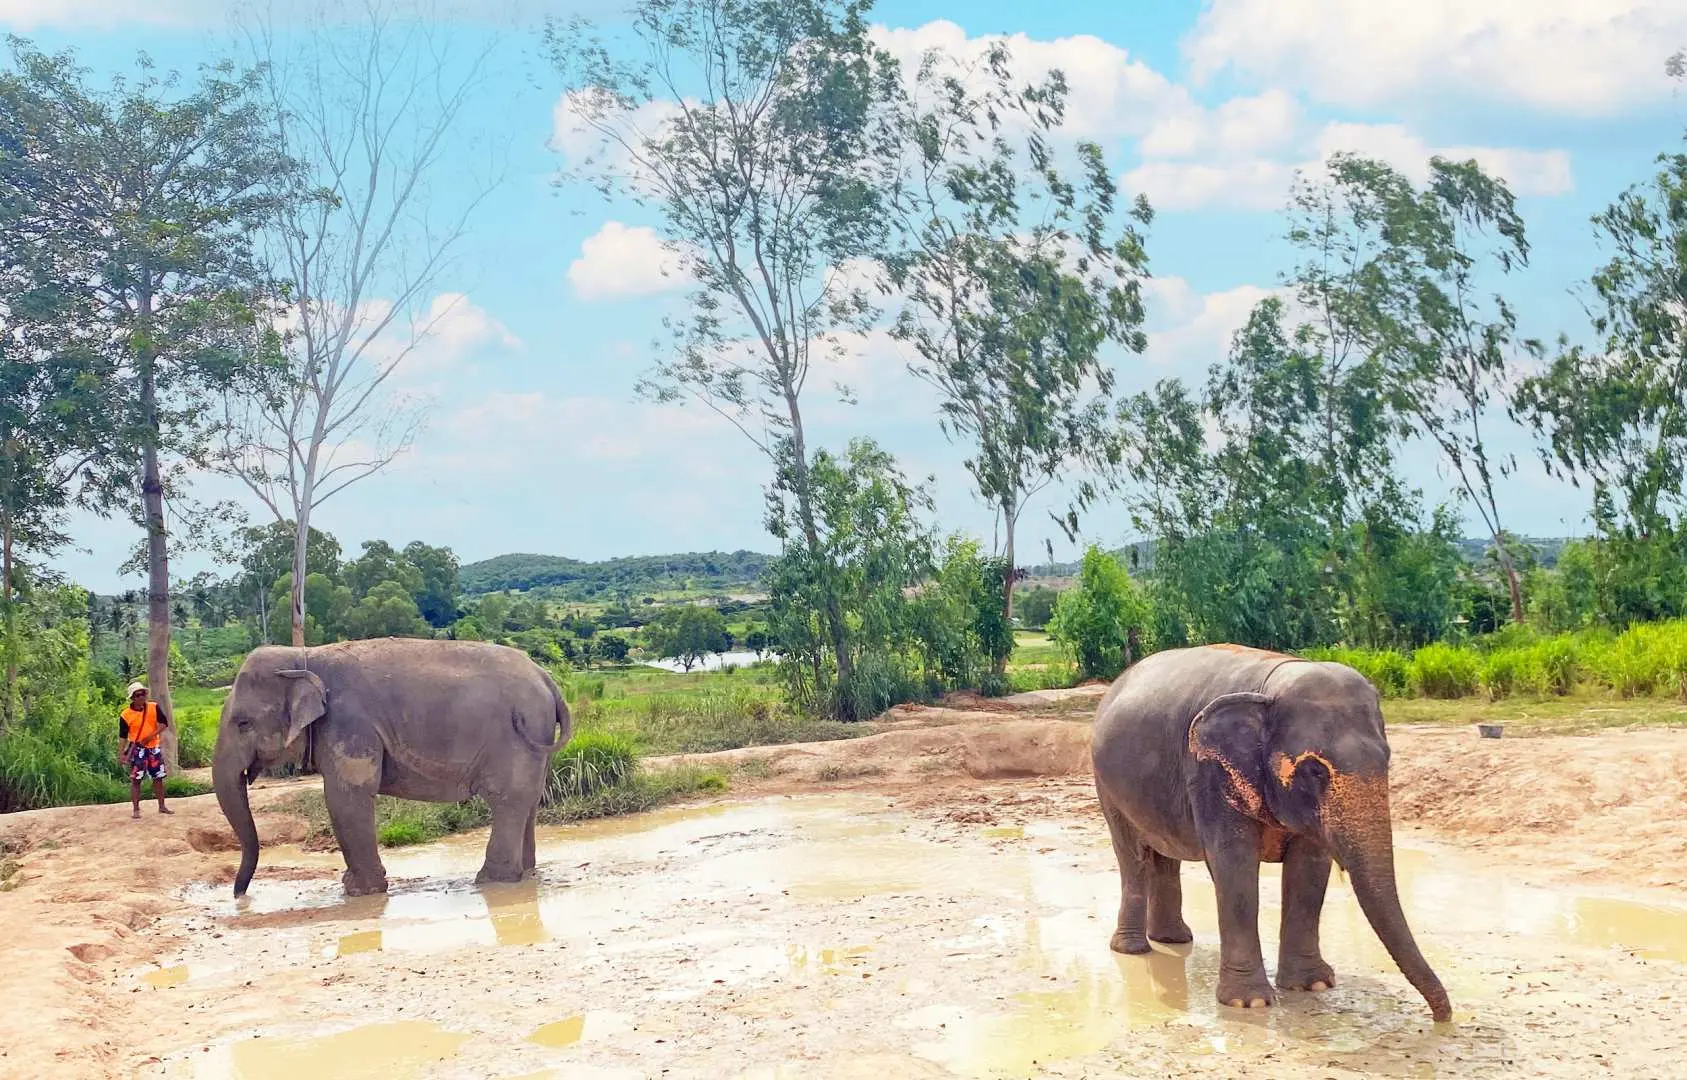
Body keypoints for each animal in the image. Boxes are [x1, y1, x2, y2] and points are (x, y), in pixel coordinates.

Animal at [213, 638, 571, 898]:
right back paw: (525, 874)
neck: (304, 656)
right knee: (528, 802)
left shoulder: (349, 724)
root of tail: (546, 678)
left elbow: (347, 797)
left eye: (243, 723)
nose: (239, 896)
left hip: (515, 738)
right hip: (534, 738)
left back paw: (490, 881)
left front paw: (359, 892)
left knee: (507, 801)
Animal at [1090, 644, 1451, 1023]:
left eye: (1387, 759)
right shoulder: (1208, 772)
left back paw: (1175, 939)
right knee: (1133, 857)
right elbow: (1235, 867)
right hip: (1106, 787)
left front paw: (1312, 986)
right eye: (1314, 770)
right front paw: (1249, 1003)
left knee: (1164, 857)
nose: (1442, 1017)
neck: (1272, 684)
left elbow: (1309, 871)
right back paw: (1134, 949)